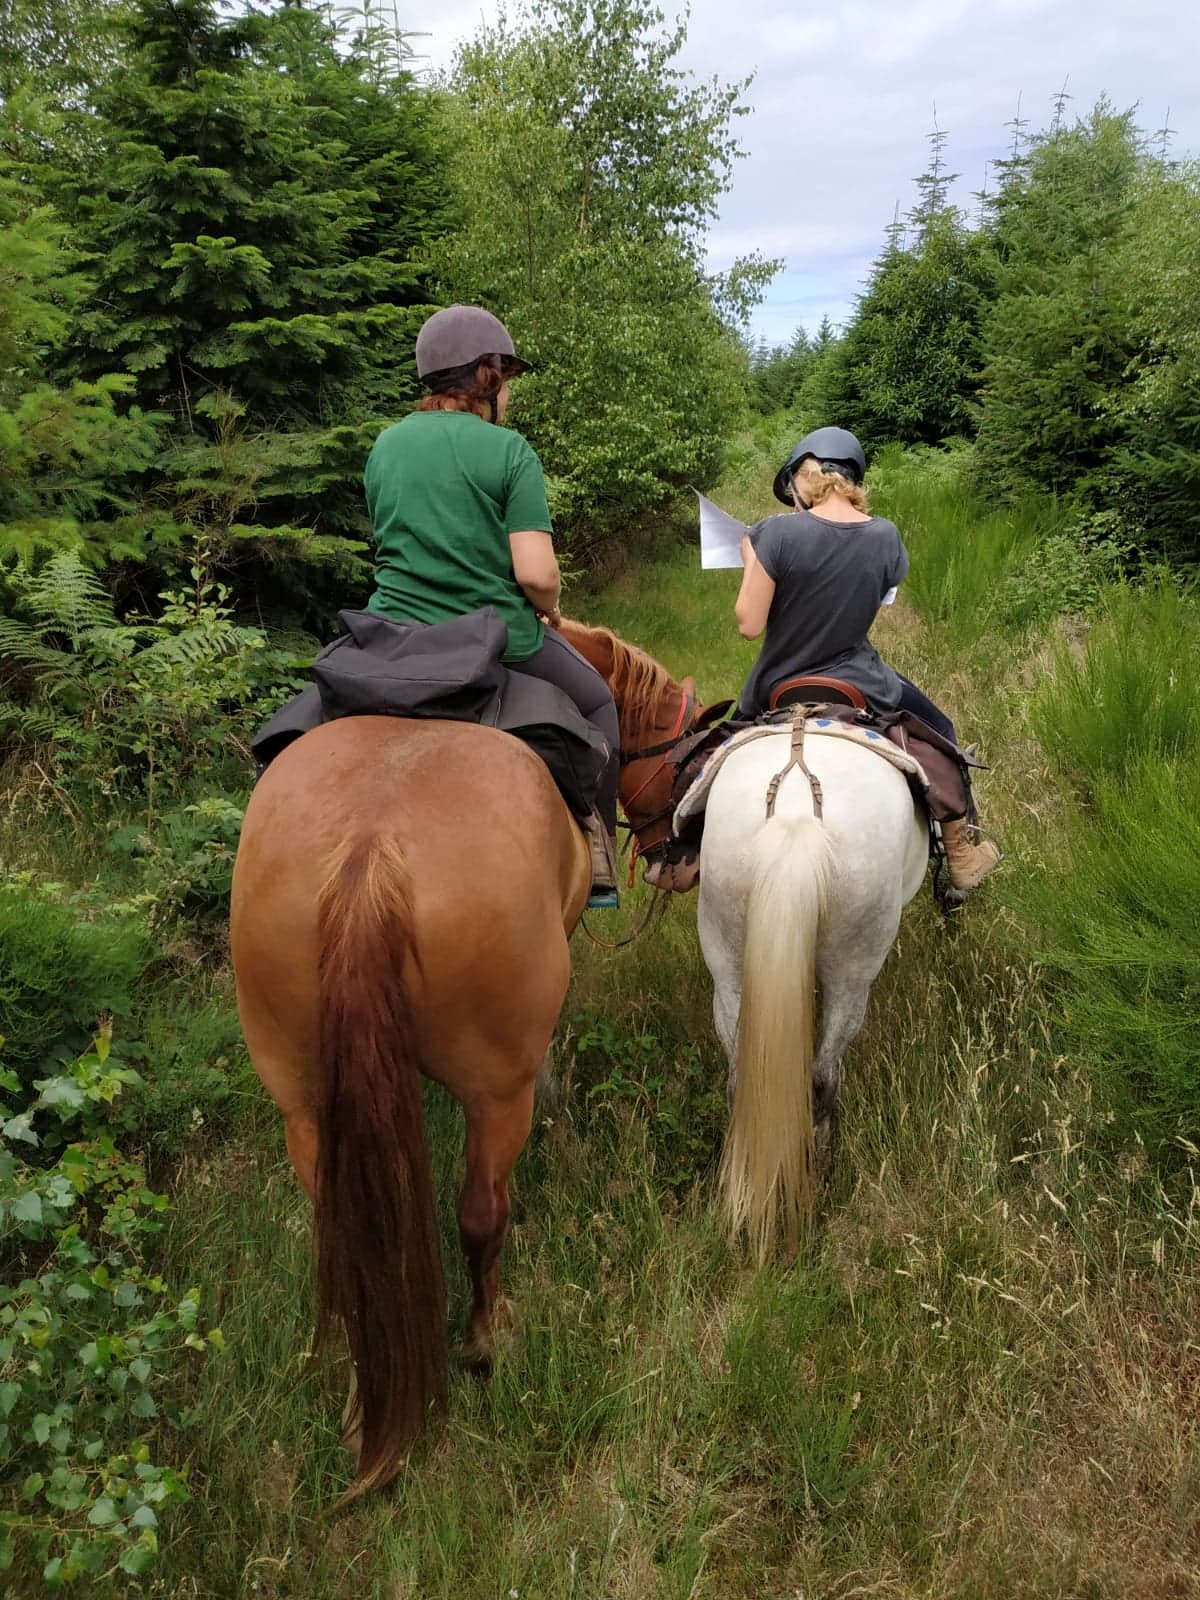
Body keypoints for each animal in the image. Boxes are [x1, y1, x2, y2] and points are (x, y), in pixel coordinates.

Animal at [229, 620, 705, 1500]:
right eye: (679, 756)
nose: (680, 861)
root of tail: (369, 850)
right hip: (494, 1093)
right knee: (483, 1213)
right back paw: (487, 1339)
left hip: (304, 1098)